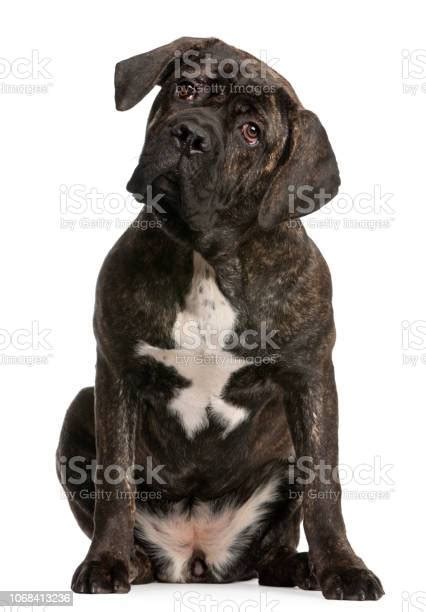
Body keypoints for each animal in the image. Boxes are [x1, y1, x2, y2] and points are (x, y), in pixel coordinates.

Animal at [55, 35, 384, 600]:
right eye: (186, 88)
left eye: (252, 133)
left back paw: (299, 567)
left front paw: (343, 569)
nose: (190, 134)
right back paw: (135, 562)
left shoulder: (311, 377)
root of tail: (197, 554)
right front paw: (105, 562)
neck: (207, 258)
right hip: (81, 404)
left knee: (276, 545)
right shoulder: (116, 372)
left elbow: (324, 484)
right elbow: (114, 479)